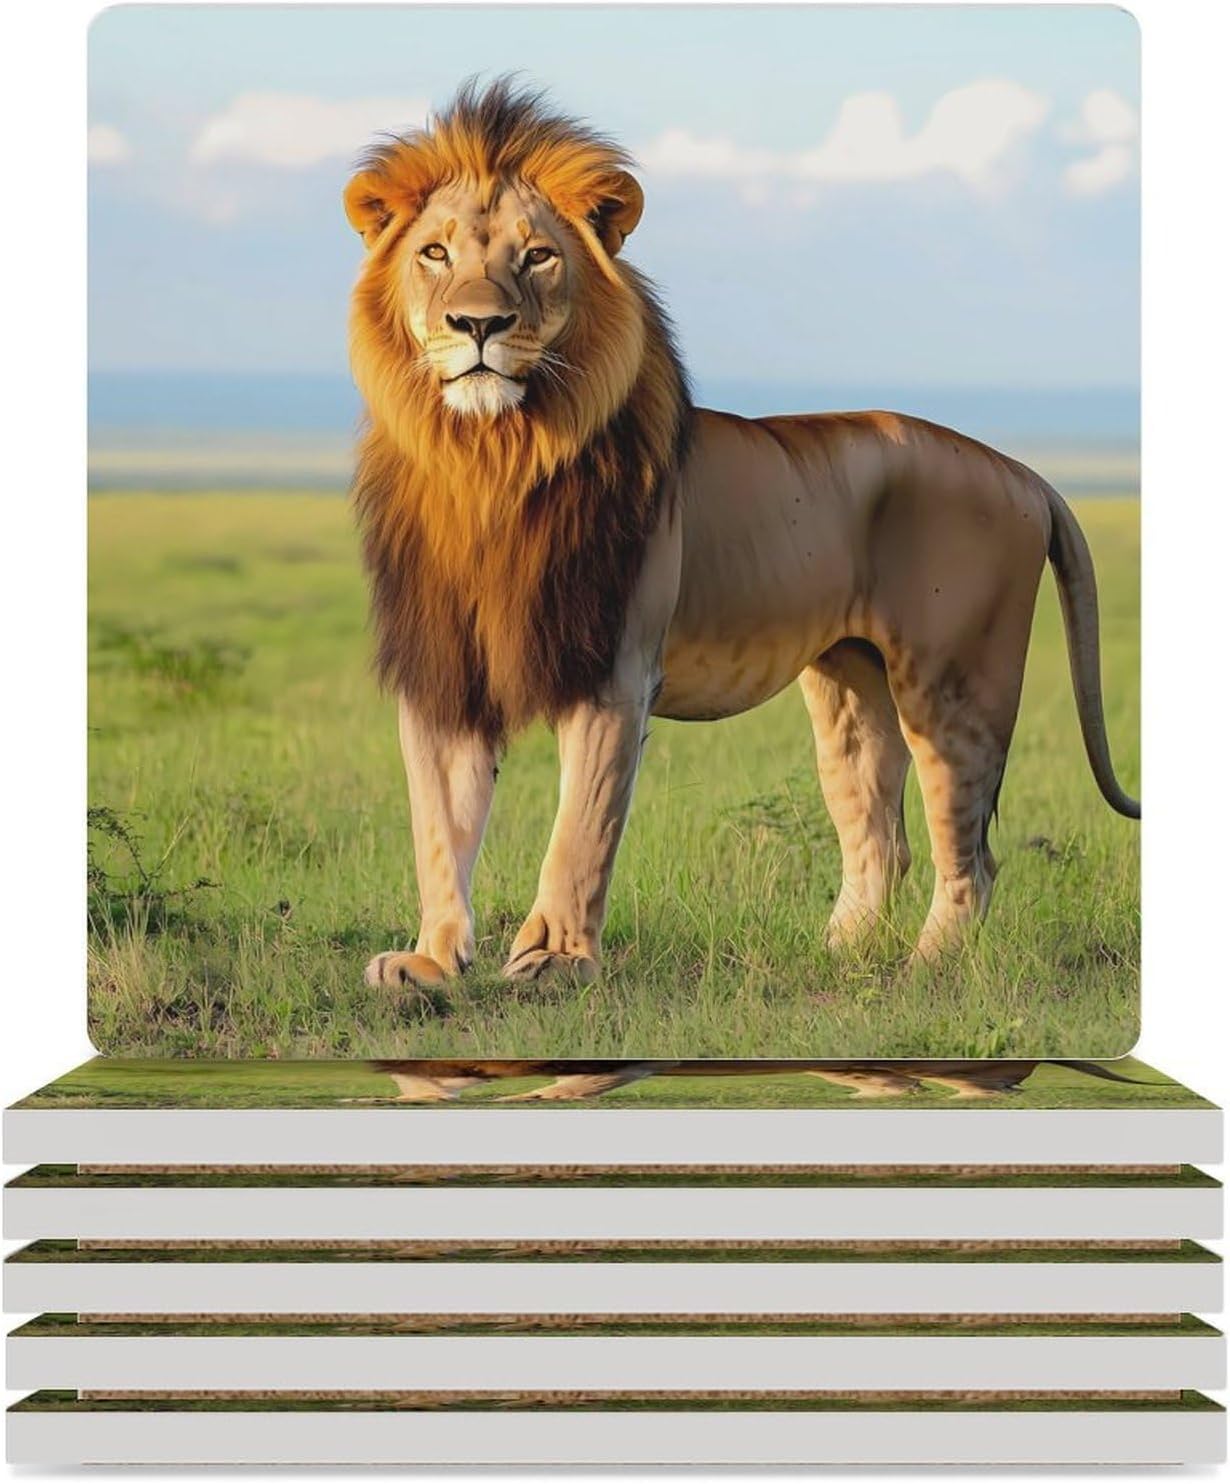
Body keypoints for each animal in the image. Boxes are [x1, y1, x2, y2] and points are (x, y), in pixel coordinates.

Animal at [343, 80, 1138, 995]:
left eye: (538, 257)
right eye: (434, 253)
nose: (479, 324)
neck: (488, 462)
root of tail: (1023, 470)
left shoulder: (617, 667)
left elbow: (581, 828)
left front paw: (554, 960)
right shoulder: (441, 667)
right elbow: (440, 825)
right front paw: (430, 961)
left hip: (954, 682)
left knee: (969, 851)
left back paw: (921, 969)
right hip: (851, 683)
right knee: (882, 837)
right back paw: (837, 957)